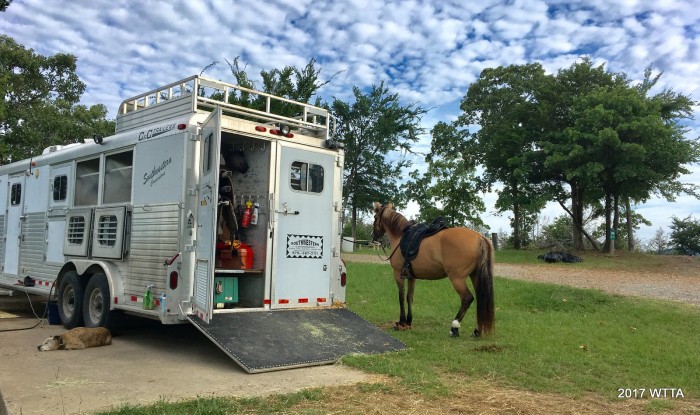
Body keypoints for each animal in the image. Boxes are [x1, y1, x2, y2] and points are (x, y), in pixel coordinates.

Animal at [374, 204, 494, 338]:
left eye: (375, 217)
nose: (374, 236)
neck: (400, 236)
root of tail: (479, 237)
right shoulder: (411, 276)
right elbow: (409, 296)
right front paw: (408, 322)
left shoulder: (397, 274)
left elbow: (401, 296)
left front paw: (401, 322)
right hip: (475, 276)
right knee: (481, 299)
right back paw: (477, 330)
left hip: (457, 278)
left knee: (467, 298)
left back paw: (454, 328)